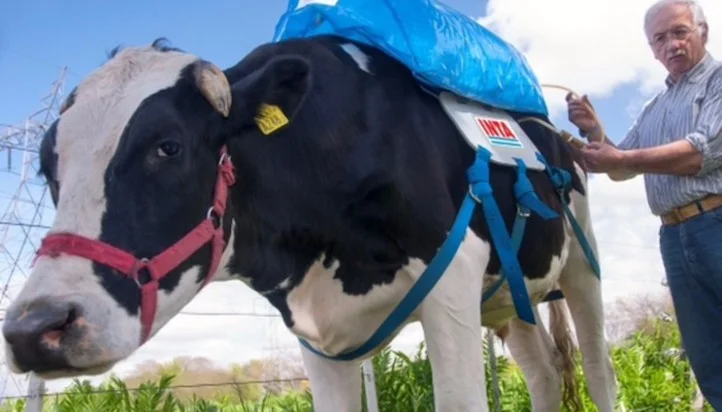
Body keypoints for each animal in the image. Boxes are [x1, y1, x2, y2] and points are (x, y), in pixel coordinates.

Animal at [1, 36, 617, 411]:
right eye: (47, 167)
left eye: (168, 147)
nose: (35, 329)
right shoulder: (315, 330)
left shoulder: (453, 280)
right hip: (508, 299)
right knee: (544, 374)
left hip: (582, 266)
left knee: (596, 367)